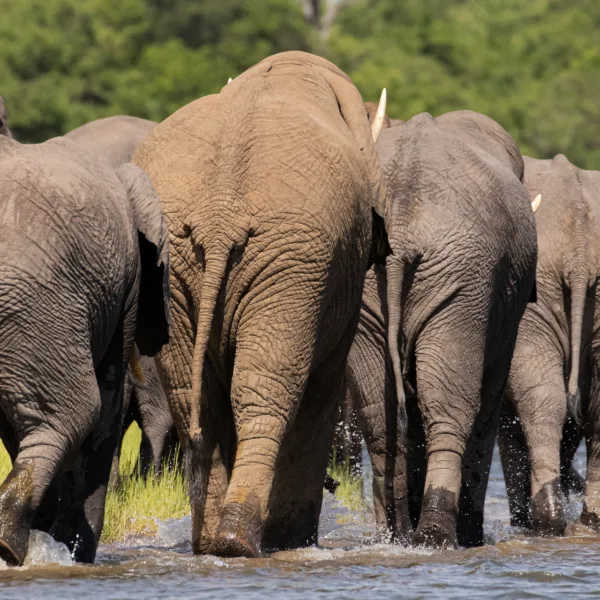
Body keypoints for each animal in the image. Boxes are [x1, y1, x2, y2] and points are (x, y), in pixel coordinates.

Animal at [131, 50, 390, 556]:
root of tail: (220, 216)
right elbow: (323, 379)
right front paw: (293, 538)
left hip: (187, 263)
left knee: (196, 397)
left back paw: (213, 542)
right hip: (291, 262)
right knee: (269, 389)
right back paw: (250, 541)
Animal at [342, 111, 540, 548]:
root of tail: (400, 210)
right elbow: (488, 396)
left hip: (375, 278)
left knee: (380, 415)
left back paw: (397, 535)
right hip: (463, 278)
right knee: (453, 408)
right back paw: (439, 536)